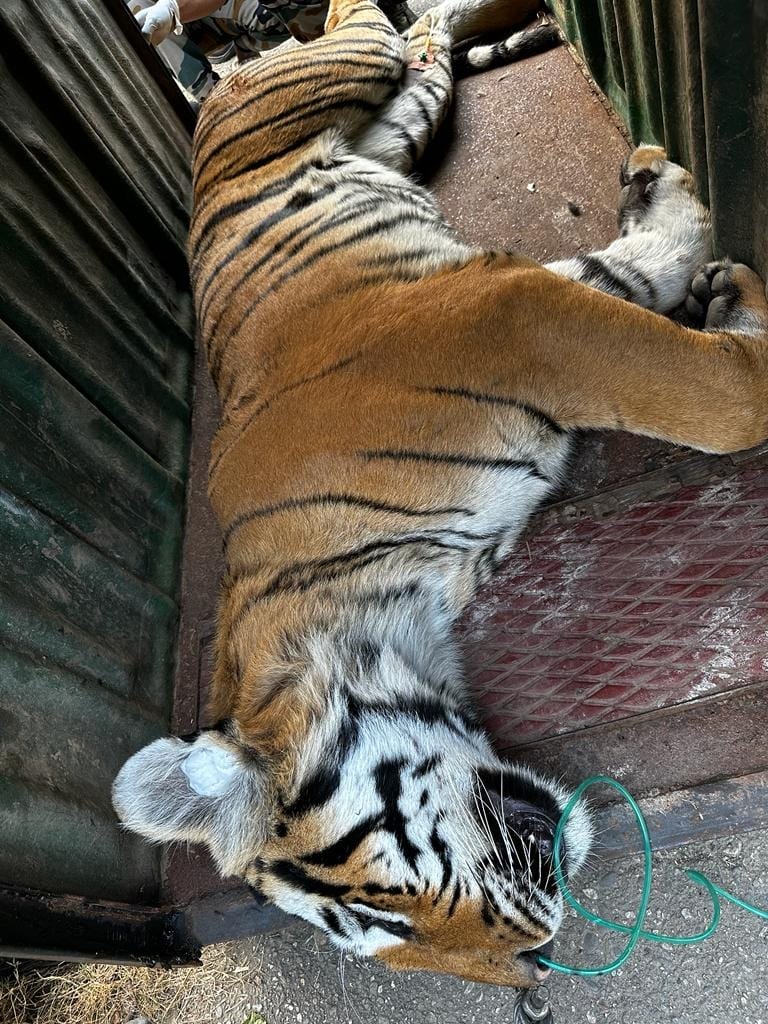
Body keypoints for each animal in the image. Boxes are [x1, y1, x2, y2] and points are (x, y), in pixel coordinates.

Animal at [113, 0, 768, 988]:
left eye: (376, 906)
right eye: (381, 934)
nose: (533, 972)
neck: (390, 592)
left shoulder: (507, 315)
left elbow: (727, 404)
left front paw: (723, 278)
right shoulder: (527, 310)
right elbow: (637, 282)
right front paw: (697, 249)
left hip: (345, 64)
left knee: (366, 21)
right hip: (399, 119)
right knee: (425, 47)